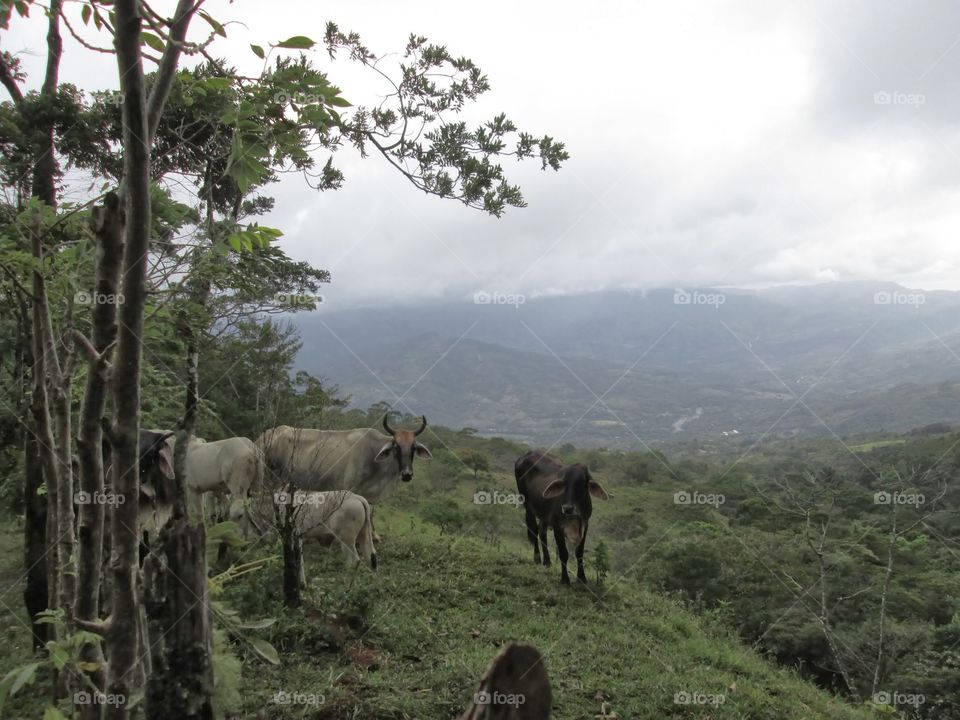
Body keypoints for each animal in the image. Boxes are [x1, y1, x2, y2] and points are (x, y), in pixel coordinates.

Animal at [256, 416, 431, 536]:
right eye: (396, 447)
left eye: (413, 447)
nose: (407, 474)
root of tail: (265, 435)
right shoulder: (350, 487)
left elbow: (371, 513)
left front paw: (374, 536)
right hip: (270, 478)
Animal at [515, 450, 609, 584]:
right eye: (565, 484)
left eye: (581, 484)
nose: (568, 508)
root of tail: (528, 453)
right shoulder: (557, 526)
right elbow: (563, 553)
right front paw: (565, 579)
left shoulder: (585, 525)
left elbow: (579, 553)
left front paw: (582, 578)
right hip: (528, 506)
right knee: (534, 530)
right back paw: (537, 558)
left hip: (544, 514)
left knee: (542, 532)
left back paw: (547, 561)